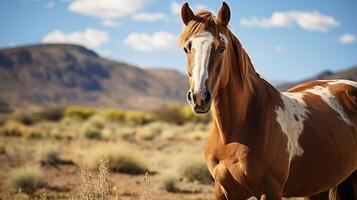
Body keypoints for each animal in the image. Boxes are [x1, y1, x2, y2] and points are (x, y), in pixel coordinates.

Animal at [178, 1, 356, 200]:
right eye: (187, 48)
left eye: (221, 47)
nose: (199, 97)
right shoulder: (223, 190)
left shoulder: (269, 190)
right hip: (318, 186)